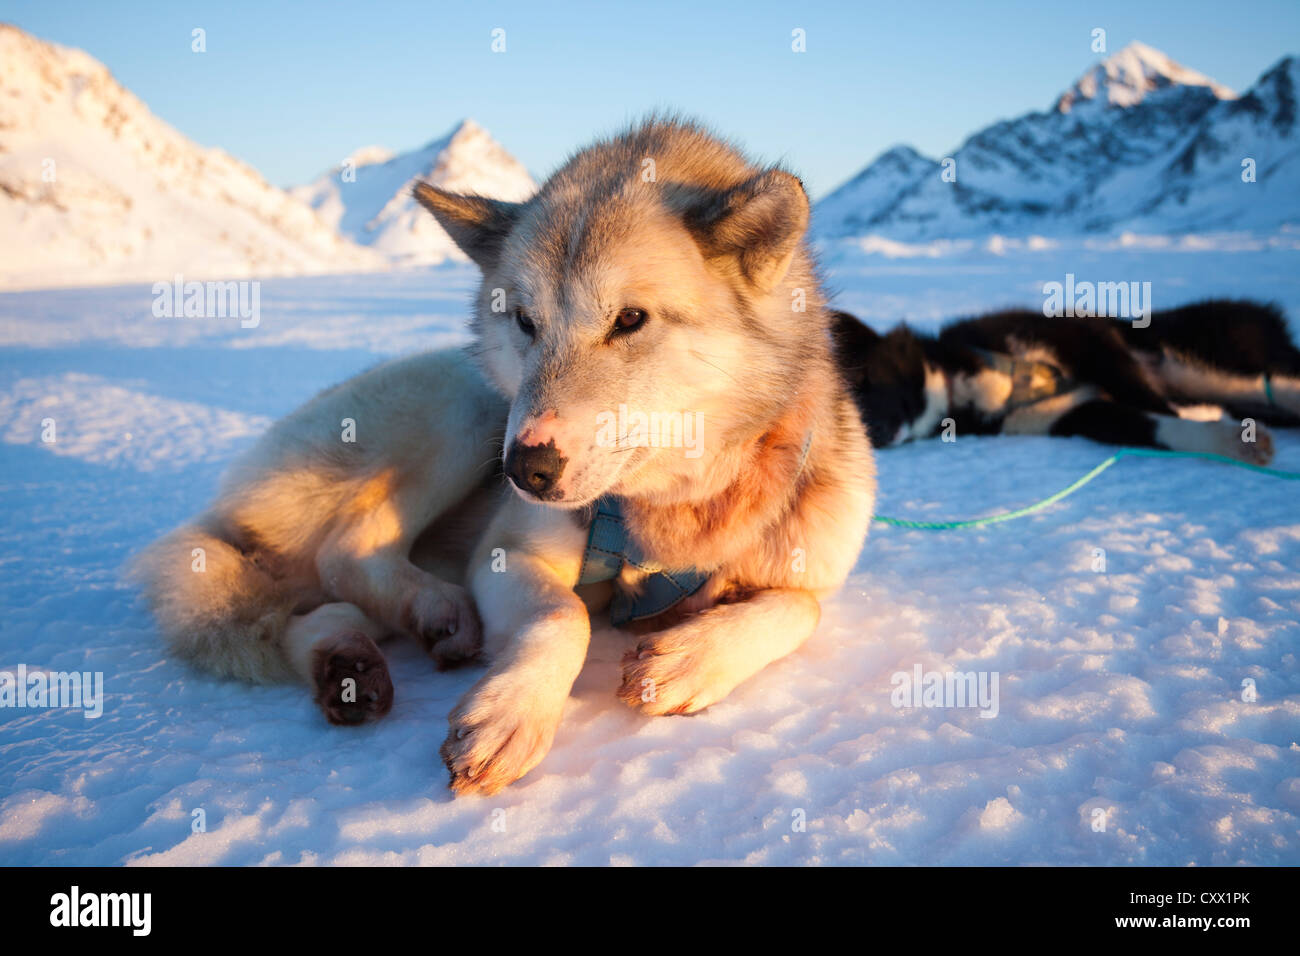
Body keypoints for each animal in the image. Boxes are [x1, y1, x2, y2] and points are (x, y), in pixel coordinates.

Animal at [134, 119, 873, 796]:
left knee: (315, 610)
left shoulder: (808, 558)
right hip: (469, 408)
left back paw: (345, 663)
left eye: (630, 319)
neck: (668, 516)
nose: (524, 472)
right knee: (349, 549)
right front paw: (514, 712)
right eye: (524, 321)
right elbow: (567, 617)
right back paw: (434, 609)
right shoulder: (507, 553)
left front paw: (693, 657)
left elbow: (800, 608)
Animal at [832, 299, 1300, 463]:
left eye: (865, 380)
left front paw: (1220, 428)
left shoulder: (1085, 335)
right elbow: (1157, 427)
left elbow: (1152, 401)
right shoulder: (1079, 414)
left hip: (1190, 359)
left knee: (1269, 382)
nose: (878, 433)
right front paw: (1227, 440)